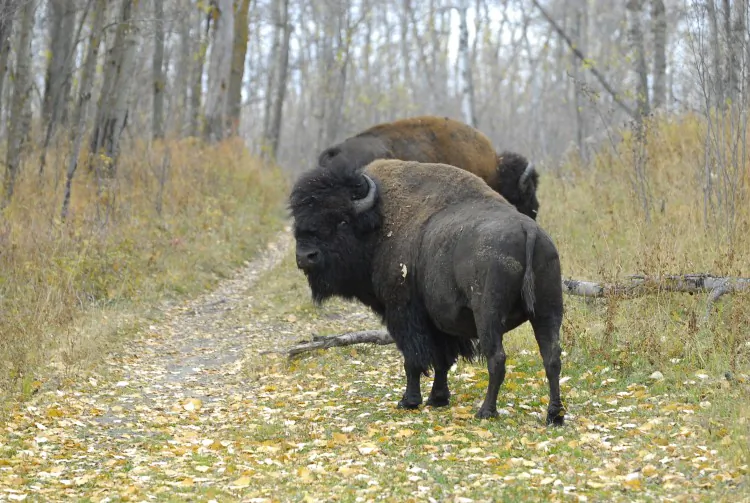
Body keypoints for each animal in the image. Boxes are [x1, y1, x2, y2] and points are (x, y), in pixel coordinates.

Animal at [289, 159, 565, 425]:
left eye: (342, 221)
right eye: (299, 221)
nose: (305, 256)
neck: (379, 221)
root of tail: (528, 230)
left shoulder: (404, 314)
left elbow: (413, 360)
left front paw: (409, 401)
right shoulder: (439, 321)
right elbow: (442, 360)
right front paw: (437, 399)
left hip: (489, 316)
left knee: (497, 358)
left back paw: (486, 411)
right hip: (548, 311)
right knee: (551, 358)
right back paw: (554, 415)